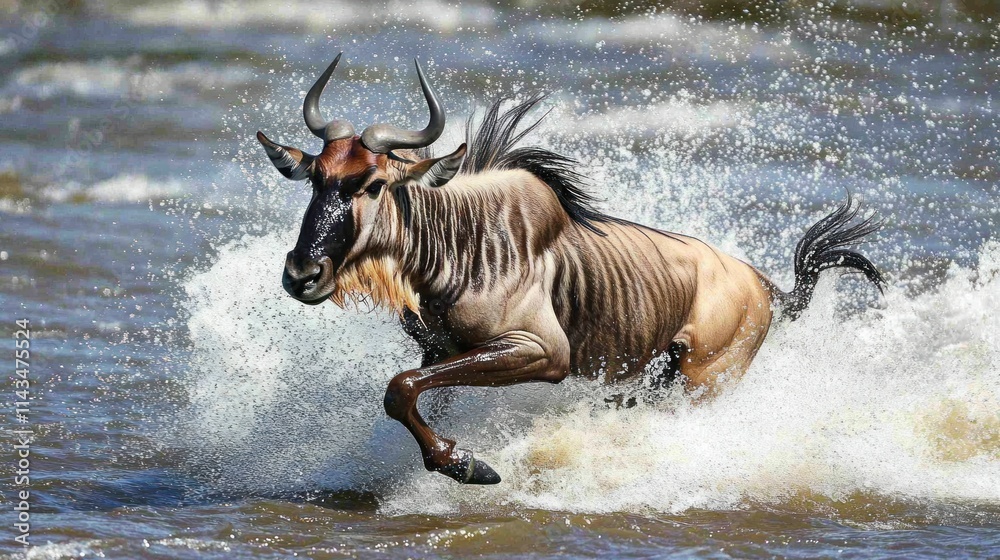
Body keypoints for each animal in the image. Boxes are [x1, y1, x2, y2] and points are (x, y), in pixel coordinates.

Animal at [256, 53, 885, 485]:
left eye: (373, 183)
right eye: (316, 178)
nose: (302, 274)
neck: (460, 245)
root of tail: (767, 286)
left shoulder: (543, 352)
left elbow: (398, 387)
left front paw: (471, 467)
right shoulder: (438, 350)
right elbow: (410, 395)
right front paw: (460, 461)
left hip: (705, 380)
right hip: (656, 376)